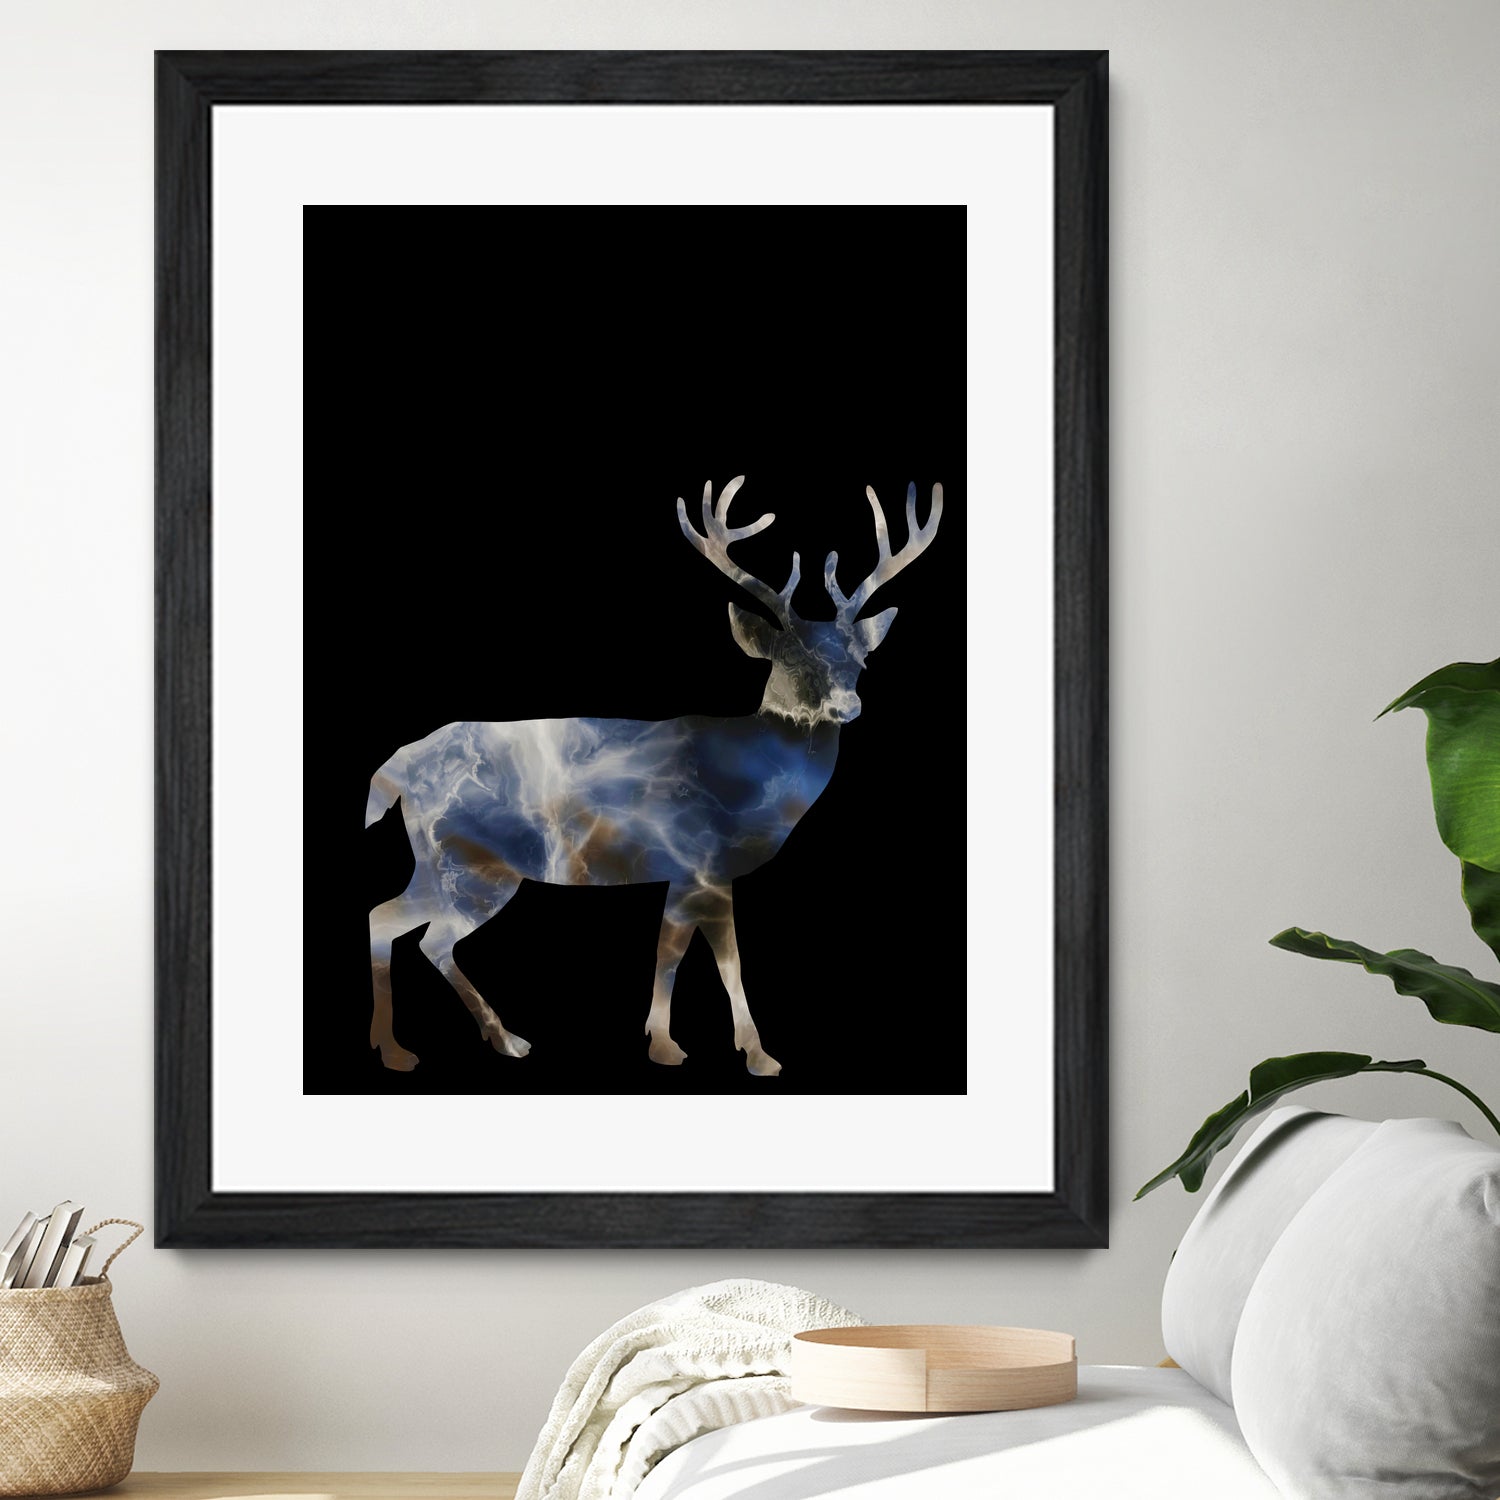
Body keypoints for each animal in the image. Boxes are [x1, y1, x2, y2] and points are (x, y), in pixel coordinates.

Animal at [364, 476, 942, 1077]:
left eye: (861, 663)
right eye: (790, 659)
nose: (847, 706)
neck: (750, 779)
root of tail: (398, 767)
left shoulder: (687, 873)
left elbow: (675, 952)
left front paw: (674, 1042)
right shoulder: (702, 862)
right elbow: (713, 960)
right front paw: (743, 1053)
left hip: (440, 863)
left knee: (391, 920)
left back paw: (452, 1041)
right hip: (472, 863)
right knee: (421, 934)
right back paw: (450, 1044)